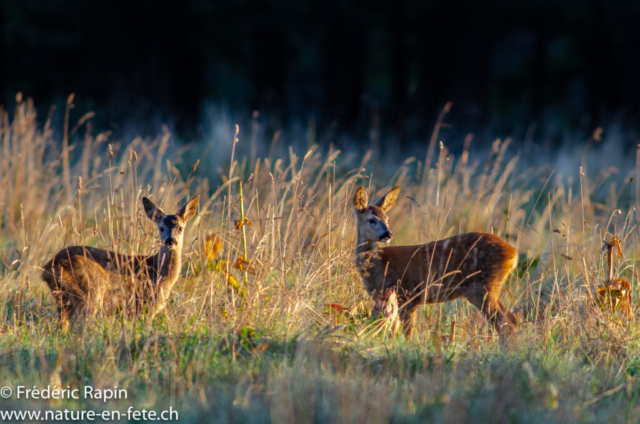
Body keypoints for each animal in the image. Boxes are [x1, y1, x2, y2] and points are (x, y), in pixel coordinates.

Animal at [40, 196, 200, 332]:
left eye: (180, 228)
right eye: (161, 228)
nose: (170, 241)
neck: (160, 274)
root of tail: (51, 266)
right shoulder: (144, 305)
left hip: (62, 298)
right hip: (90, 292)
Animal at [356, 187, 520, 342]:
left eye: (387, 219)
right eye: (371, 220)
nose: (388, 234)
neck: (378, 263)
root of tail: (513, 253)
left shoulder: (406, 295)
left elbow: (406, 332)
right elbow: (393, 331)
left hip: (480, 287)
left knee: (506, 323)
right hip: (491, 287)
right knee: (512, 319)